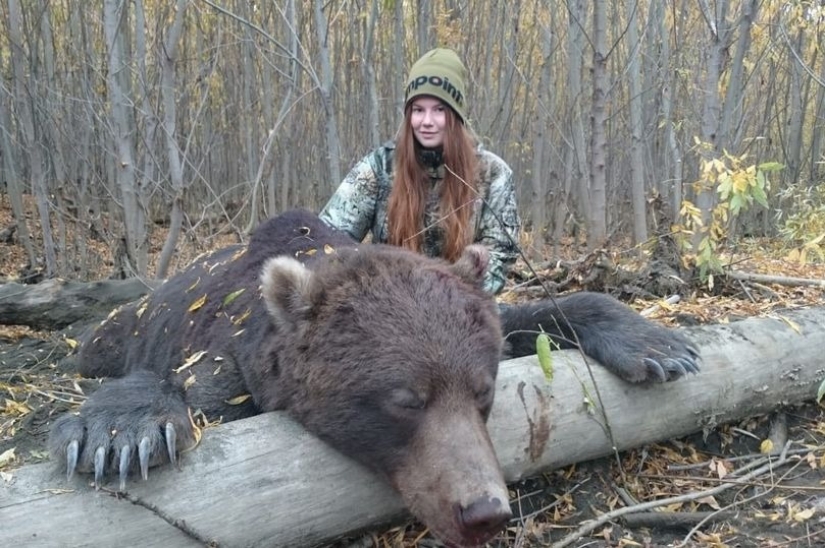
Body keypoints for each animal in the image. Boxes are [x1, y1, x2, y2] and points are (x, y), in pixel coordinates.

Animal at [49, 209, 699, 548]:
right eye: (405, 400)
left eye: (483, 393)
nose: (484, 511)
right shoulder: (233, 355)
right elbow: (185, 384)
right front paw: (118, 433)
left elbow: (531, 315)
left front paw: (661, 344)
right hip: (122, 325)